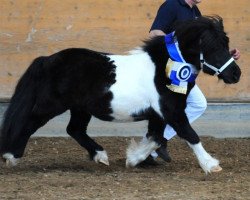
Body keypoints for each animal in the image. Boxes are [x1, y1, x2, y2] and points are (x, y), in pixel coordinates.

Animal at [0, 16, 241, 173]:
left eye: (226, 44)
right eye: (212, 47)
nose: (236, 74)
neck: (165, 68)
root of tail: (47, 59)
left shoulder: (158, 115)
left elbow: (156, 138)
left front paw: (133, 159)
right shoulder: (172, 112)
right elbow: (190, 135)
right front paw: (211, 165)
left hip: (80, 108)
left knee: (74, 130)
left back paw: (101, 156)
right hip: (50, 105)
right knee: (29, 123)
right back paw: (11, 157)